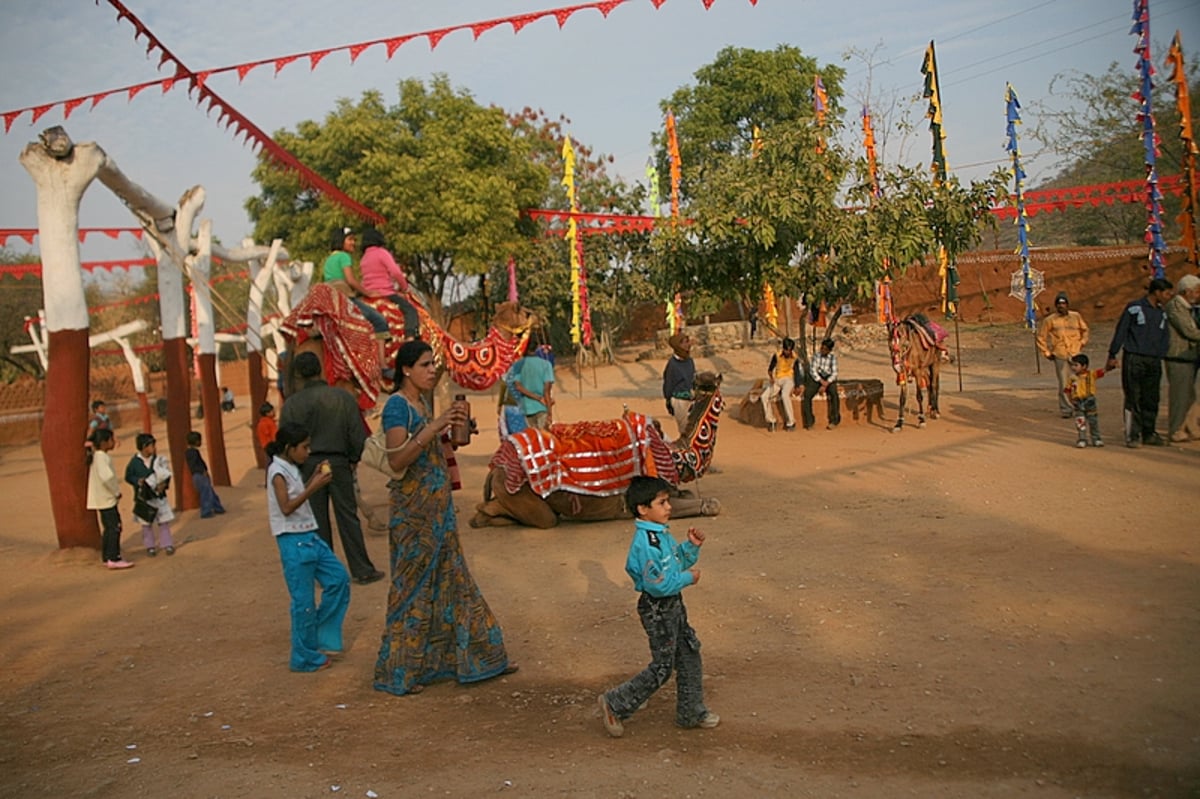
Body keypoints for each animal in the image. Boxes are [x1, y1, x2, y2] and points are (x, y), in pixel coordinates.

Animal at [472, 369, 724, 525]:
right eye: (703, 380)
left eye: (709, 380)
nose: (701, 381)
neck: (678, 453)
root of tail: (495, 468)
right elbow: (712, 504)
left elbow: (689, 493)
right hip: (520, 495)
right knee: (535, 517)